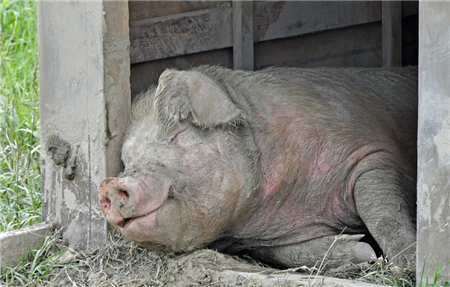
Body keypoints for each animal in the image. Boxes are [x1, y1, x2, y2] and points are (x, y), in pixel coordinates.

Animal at [99, 65, 418, 270]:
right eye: (128, 159)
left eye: (177, 134)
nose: (111, 185)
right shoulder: (261, 242)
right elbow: (289, 253)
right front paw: (365, 251)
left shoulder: (372, 155)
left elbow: (382, 213)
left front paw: (408, 263)